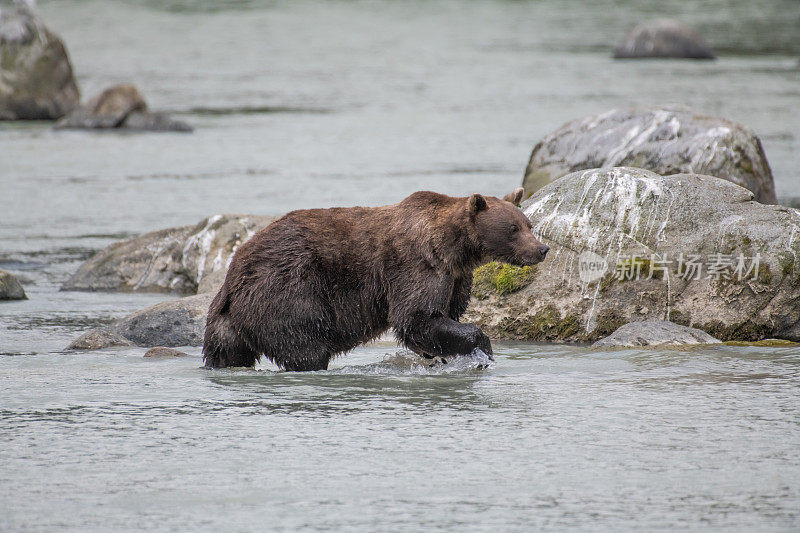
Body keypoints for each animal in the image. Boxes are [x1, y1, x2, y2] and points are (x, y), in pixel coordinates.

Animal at [203, 188, 548, 370]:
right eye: (513, 229)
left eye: (528, 224)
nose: (542, 249)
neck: (454, 248)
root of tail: (232, 274)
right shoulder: (418, 264)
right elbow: (416, 316)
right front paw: (482, 349)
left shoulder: (456, 277)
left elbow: (439, 320)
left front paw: (441, 355)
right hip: (288, 289)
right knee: (304, 344)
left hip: (227, 322)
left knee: (227, 352)